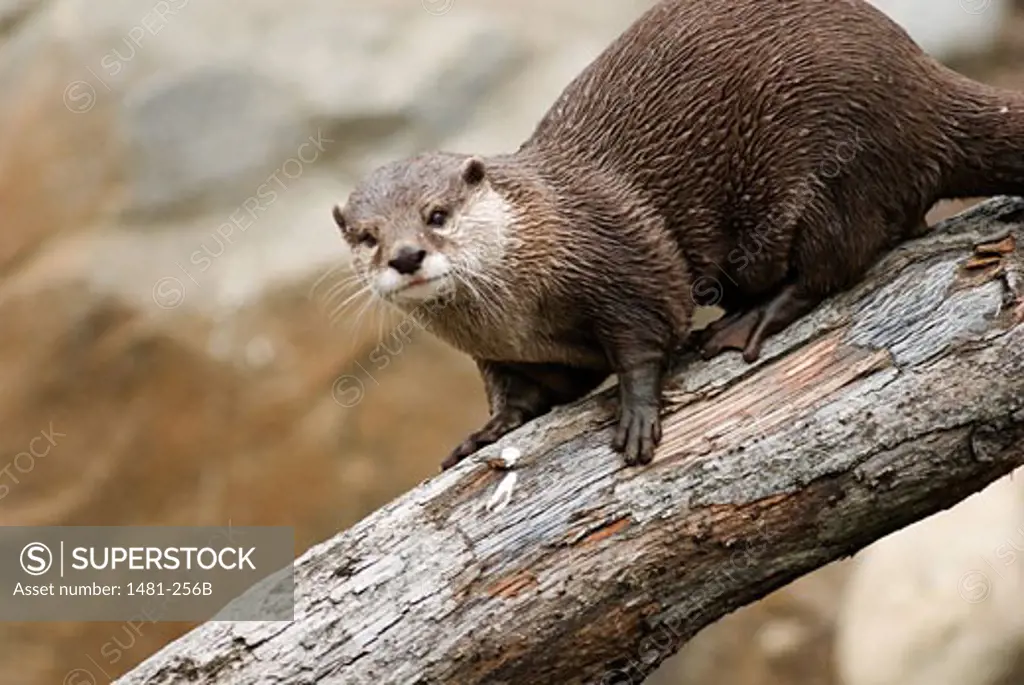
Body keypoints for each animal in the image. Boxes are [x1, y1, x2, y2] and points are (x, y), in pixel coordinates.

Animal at [335, 0, 1024, 466]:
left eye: (437, 214)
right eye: (367, 236)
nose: (405, 256)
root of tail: (923, 81)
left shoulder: (625, 260)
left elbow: (647, 334)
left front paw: (638, 414)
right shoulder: (512, 353)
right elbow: (520, 394)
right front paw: (489, 429)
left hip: (839, 158)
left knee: (838, 258)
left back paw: (749, 319)